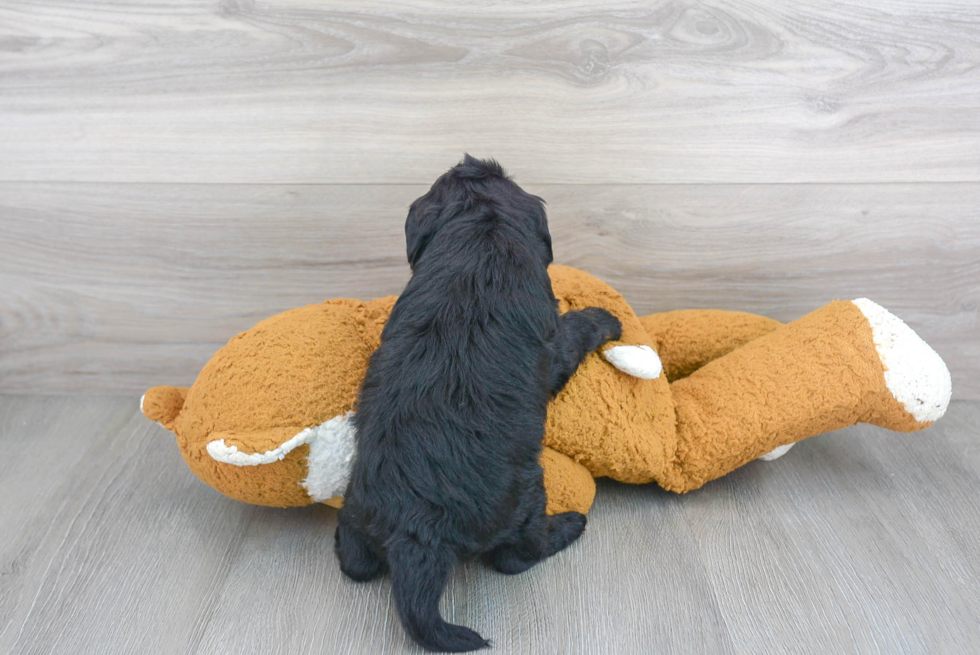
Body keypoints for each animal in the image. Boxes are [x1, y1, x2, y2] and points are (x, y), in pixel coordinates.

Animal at [334, 156, 620, 652]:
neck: (480, 233)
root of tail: (413, 530)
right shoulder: (552, 344)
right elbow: (575, 332)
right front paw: (604, 318)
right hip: (525, 496)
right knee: (515, 557)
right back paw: (568, 526)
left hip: (358, 511)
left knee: (355, 561)